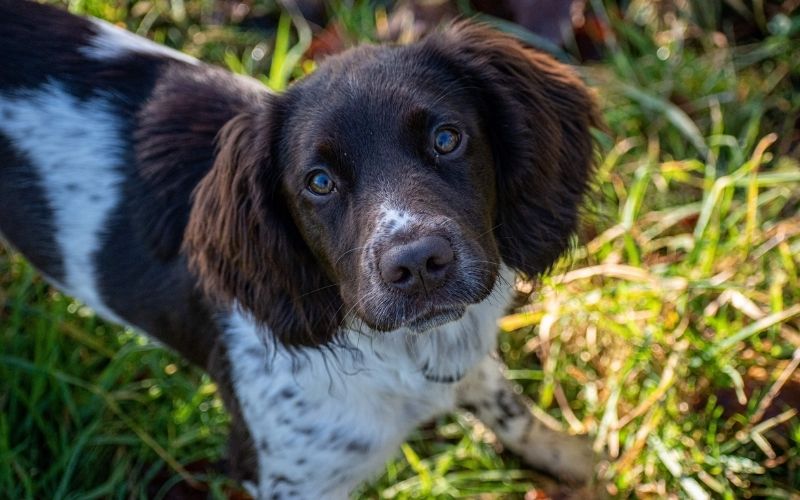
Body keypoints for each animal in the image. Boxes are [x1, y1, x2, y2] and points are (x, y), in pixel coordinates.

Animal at [0, 1, 600, 496]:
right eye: (319, 182)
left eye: (447, 138)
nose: (417, 264)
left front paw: (577, 460)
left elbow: (508, 406)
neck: (403, 354)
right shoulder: (285, 475)